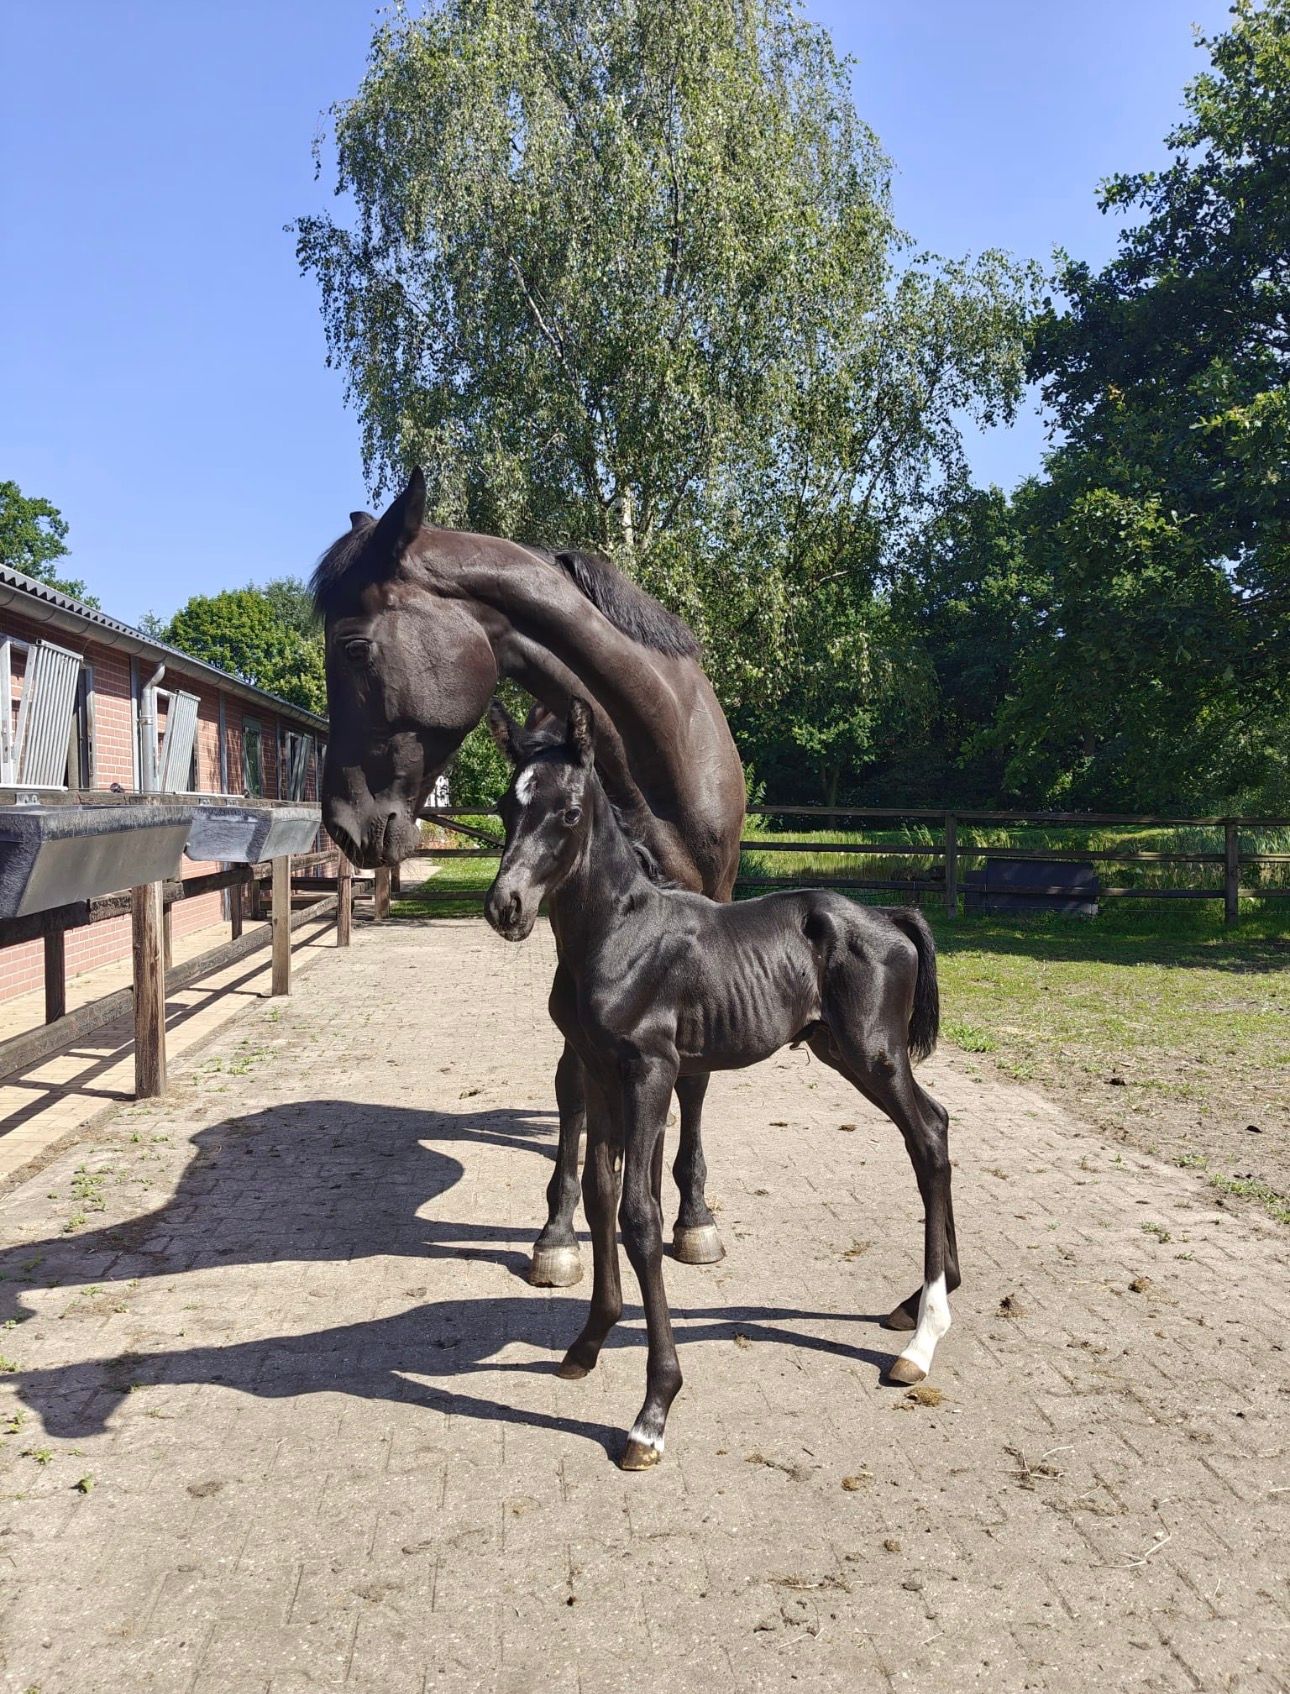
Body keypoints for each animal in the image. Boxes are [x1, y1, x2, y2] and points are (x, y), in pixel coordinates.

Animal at [310, 469, 746, 1285]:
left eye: (353, 648)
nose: (346, 825)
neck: (652, 759)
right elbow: (575, 1081)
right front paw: (560, 1230)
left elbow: (694, 1083)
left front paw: (694, 1215)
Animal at [483, 699, 958, 1469]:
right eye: (505, 804)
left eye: (570, 811)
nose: (507, 906)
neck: (618, 935)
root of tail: (889, 916)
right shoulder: (600, 1071)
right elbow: (600, 1195)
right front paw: (589, 1342)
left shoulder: (651, 1070)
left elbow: (641, 1215)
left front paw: (652, 1413)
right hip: (842, 1051)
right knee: (935, 1132)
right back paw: (919, 1305)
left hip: (875, 1053)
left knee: (928, 1136)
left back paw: (924, 1338)